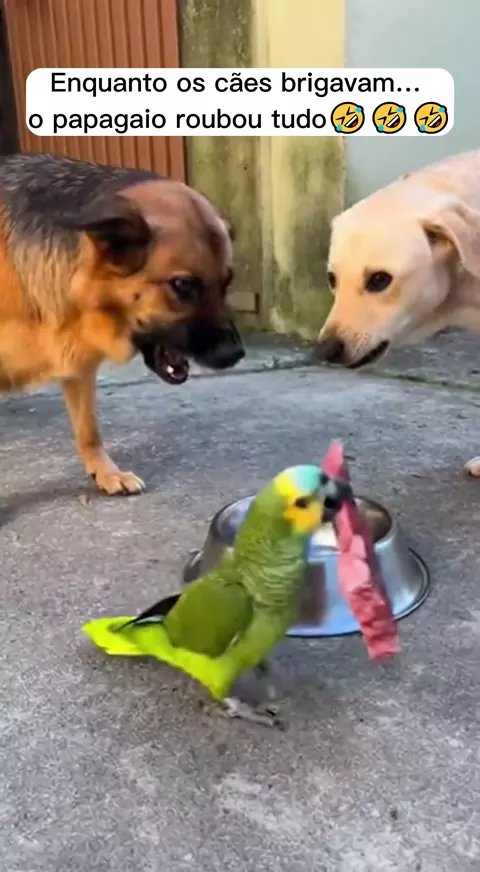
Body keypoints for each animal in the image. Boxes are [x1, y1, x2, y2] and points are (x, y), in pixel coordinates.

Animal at [0, 152, 244, 494]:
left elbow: (89, 431)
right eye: (183, 285)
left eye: (226, 282)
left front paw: (106, 472)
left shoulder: (78, 366)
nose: (235, 354)